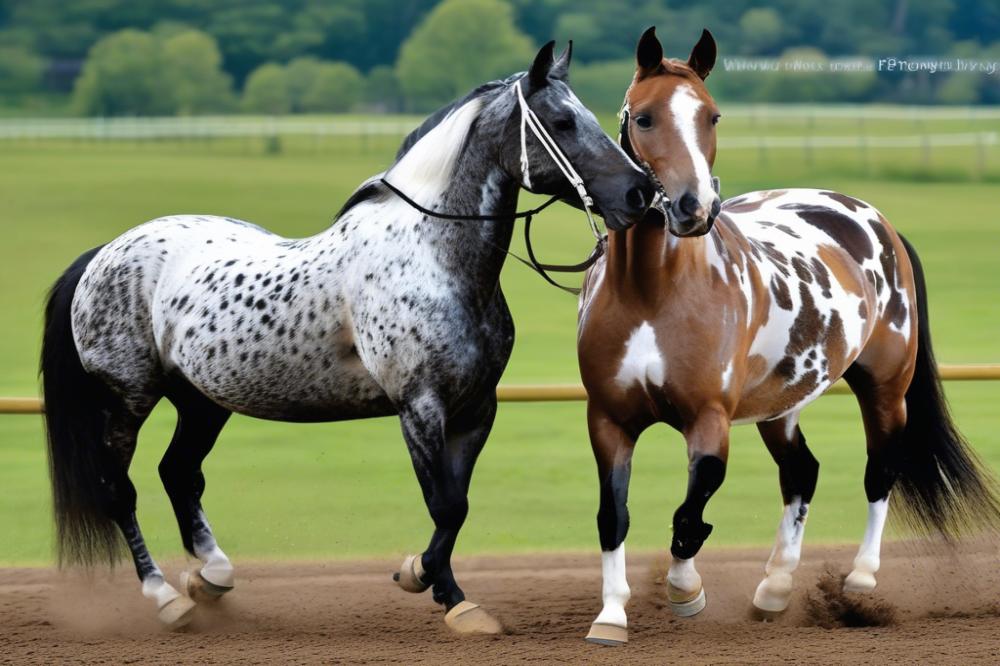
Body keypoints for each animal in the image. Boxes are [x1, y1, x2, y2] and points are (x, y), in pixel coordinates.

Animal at [580, 27, 1000, 644]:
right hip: (781, 405)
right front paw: (610, 615)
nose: (694, 207)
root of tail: (875, 219)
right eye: (645, 117)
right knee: (803, 473)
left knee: (880, 472)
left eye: (712, 115)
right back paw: (774, 589)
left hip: (884, 390)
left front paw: (686, 592)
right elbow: (614, 515)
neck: (652, 295)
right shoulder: (609, 420)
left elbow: (690, 515)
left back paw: (859, 582)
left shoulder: (708, 419)